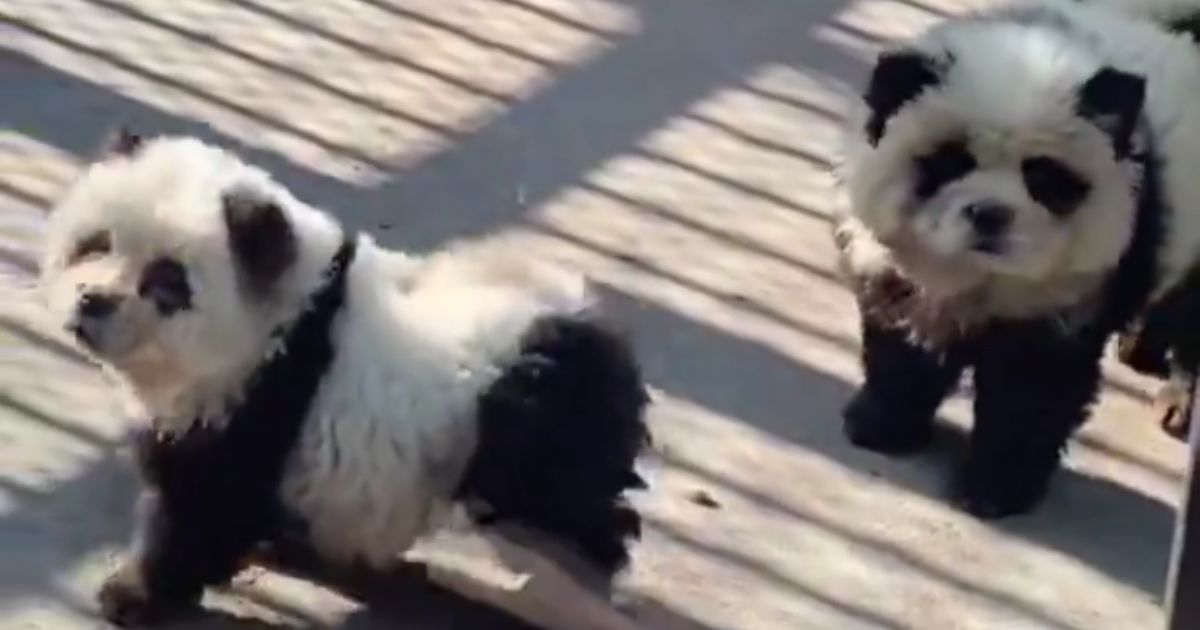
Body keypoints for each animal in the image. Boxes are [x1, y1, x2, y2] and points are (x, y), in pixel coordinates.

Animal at [42, 133, 652, 628]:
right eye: (95, 244)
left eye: (167, 282)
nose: (92, 302)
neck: (288, 309)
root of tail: (594, 331)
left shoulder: (259, 396)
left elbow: (201, 505)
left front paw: (133, 594)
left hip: (532, 435)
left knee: (579, 516)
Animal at [835, 0, 1200, 516]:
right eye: (951, 161)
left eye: (1043, 176)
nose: (990, 215)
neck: (983, 277)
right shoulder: (900, 269)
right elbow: (903, 344)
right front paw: (880, 426)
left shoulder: (1073, 291)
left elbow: (1032, 391)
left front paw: (992, 489)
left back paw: (1177, 403)